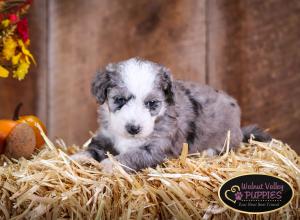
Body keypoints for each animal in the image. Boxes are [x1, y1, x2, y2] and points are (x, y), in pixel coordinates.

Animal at [72, 57, 270, 173]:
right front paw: (78, 157)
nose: (133, 128)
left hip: (227, 138)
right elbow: (94, 147)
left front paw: (111, 164)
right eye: (119, 99)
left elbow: (133, 156)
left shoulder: (157, 149)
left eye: (152, 103)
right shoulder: (106, 136)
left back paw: (208, 152)